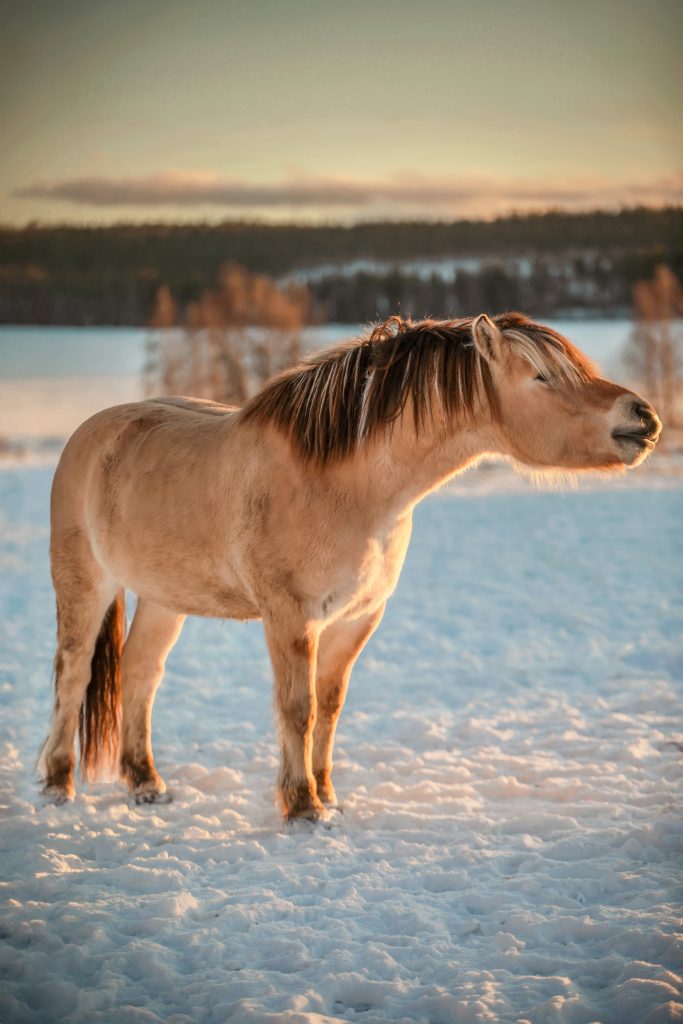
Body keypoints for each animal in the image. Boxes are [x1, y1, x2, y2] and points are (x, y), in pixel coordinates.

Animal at [38, 311, 663, 815]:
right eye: (541, 377)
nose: (644, 418)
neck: (344, 486)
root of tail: (92, 433)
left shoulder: (358, 617)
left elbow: (330, 707)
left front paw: (328, 796)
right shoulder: (290, 617)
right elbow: (298, 708)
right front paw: (301, 807)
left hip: (165, 597)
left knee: (141, 672)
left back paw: (146, 783)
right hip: (85, 584)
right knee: (73, 673)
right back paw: (58, 786)